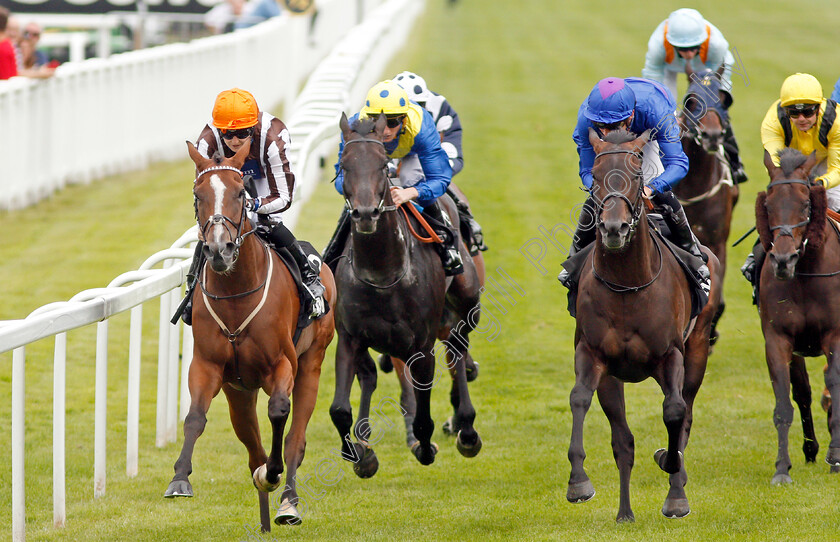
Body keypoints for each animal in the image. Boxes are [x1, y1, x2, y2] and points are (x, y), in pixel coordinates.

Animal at [330, 112, 486, 478]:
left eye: (381, 163)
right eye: (343, 164)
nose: (366, 214)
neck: (383, 272)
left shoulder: (421, 343)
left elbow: (424, 411)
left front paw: (426, 446)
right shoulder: (349, 337)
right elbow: (340, 408)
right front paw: (361, 456)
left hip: (467, 301)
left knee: (458, 349)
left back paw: (466, 428)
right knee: (372, 376)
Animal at [572, 130, 720, 524]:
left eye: (637, 176)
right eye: (595, 176)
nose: (613, 228)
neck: (628, 284)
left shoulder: (671, 355)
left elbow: (675, 412)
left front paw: (674, 488)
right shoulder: (593, 355)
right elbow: (580, 400)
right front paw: (578, 482)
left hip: (698, 351)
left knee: (686, 414)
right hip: (614, 378)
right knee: (623, 440)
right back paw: (625, 512)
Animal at [756, 149, 840, 484]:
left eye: (806, 204)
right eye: (768, 205)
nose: (783, 260)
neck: (805, 274)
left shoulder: (835, 335)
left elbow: (835, 383)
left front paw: (836, 456)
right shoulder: (778, 340)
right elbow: (786, 399)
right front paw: (782, 468)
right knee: (802, 392)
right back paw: (810, 449)